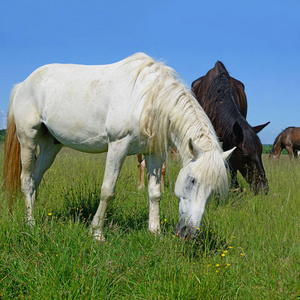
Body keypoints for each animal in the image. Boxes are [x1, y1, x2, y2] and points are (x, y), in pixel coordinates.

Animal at [3, 53, 236, 239]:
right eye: (192, 180)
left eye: (213, 189)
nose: (190, 233)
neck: (148, 98)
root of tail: (23, 84)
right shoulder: (118, 145)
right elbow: (107, 190)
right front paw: (97, 233)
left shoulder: (153, 153)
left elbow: (155, 192)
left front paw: (155, 232)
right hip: (28, 138)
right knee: (26, 181)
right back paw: (30, 224)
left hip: (51, 146)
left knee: (35, 180)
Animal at [192, 61, 270, 195]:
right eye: (245, 155)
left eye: (261, 151)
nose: (263, 188)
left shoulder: (230, 138)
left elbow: (229, 163)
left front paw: (234, 188)